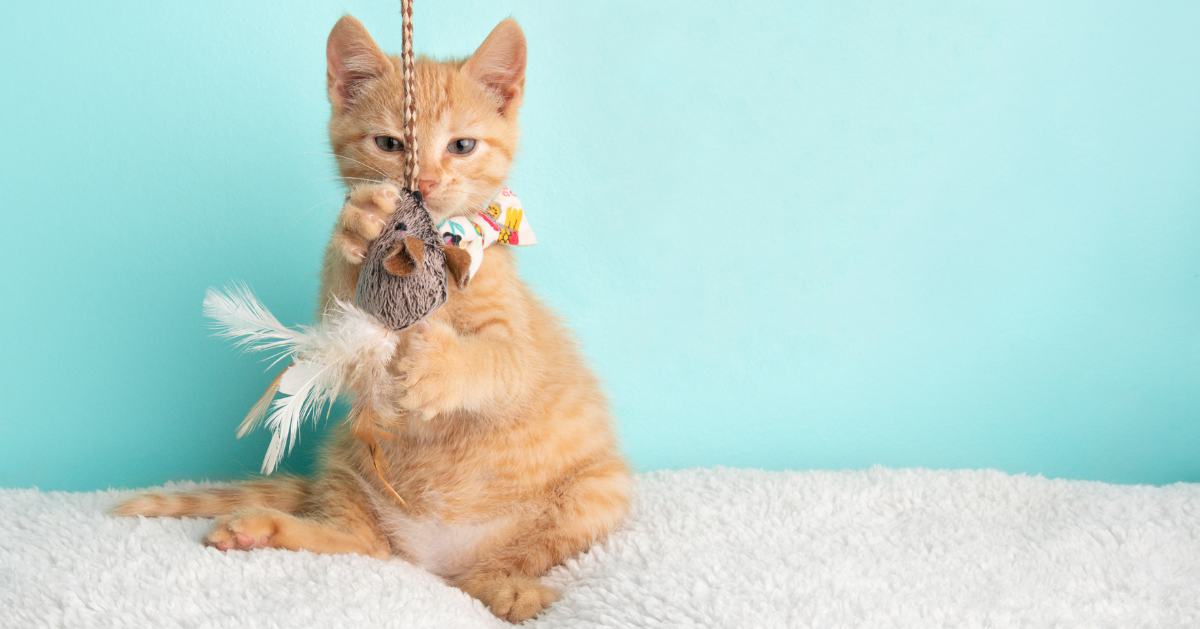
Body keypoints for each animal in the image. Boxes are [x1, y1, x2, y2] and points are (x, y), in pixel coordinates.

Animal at [117, 15, 633, 624]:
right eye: (390, 144)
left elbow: (502, 362)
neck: (439, 250)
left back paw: (509, 587)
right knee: (363, 546)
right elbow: (341, 325)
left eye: (462, 146)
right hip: (350, 465)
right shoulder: (342, 329)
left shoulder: (522, 352)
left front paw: (443, 367)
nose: (424, 184)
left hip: (599, 491)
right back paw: (261, 530)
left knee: (500, 565)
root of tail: (431, 558)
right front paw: (361, 224)